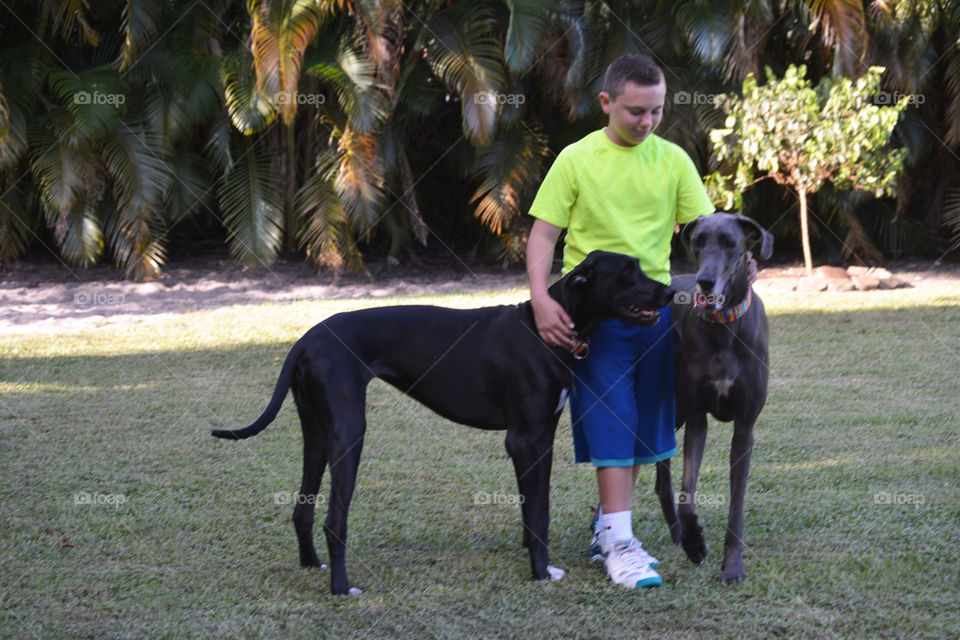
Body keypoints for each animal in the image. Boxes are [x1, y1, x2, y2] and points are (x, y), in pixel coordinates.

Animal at [213, 250, 672, 596]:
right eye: (627, 272)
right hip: (349, 435)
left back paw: (312, 565)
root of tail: (305, 340)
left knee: (302, 508)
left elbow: (535, 507)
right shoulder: (523, 440)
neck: (545, 328)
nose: (669, 291)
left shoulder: (542, 439)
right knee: (334, 518)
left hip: (316, 436)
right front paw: (540, 573)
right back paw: (342, 588)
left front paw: (537, 559)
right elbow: (537, 510)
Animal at [652, 212, 772, 584]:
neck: (723, 327)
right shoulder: (696, 418)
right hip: (670, 406)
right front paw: (695, 543)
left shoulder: (744, 428)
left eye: (731, 243)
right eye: (698, 241)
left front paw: (732, 566)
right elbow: (687, 494)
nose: (705, 282)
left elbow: (736, 506)